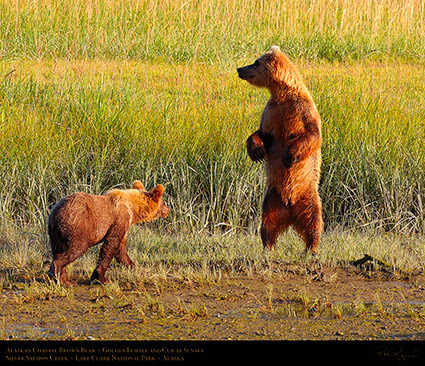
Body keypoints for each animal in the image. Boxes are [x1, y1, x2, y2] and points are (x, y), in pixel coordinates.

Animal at [237, 45, 322, 254]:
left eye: (256, 62)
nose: (239, 69)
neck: (283, 95)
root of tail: (290, 211)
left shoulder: (301, 110)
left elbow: (312, 134)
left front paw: (290, 156)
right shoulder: (271, 112)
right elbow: (261, 133)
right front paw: (256, 150)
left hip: (309, 196)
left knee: (314, 221)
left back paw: (311, 248)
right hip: (272, 198)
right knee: (268, 223)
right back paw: (269, 246)